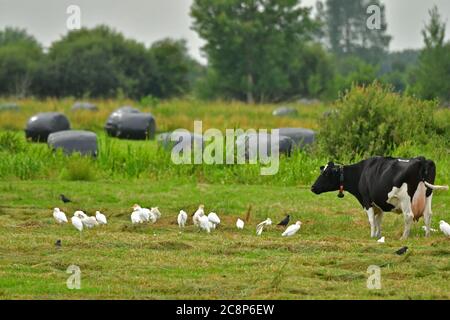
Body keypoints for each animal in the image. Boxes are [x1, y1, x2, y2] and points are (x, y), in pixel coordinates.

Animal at [312, 156, 448, 239]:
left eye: (326, 173)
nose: (312, 187)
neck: (361, 172)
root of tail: (421, 159)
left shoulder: (367, 200)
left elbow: (372, 220)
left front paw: (372, 236)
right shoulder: (379, 203)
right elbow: (378, 220)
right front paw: (378, 234)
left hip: (405, 198)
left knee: (409, 216)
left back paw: (403, 237)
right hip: (428, 195)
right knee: (428, 215)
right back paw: (427, 236)